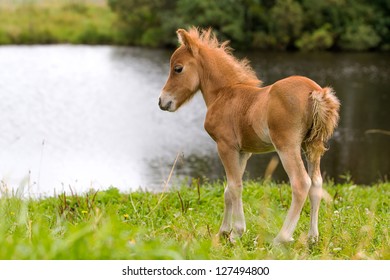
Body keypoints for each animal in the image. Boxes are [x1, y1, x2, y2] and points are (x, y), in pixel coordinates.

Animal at [158, 27, 338, 244]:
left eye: (178, 68)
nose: (162, 101)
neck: (224, 93)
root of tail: (316, 92)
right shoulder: (243, 151)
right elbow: (229, 189)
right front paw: (223, 231)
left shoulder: (225, 146)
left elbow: (236, 186)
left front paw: (236, 232)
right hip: (312, 145)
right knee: (317, 184)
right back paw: (312, 237)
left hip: (287, 146)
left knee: (301, 183)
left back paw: (281, 238)